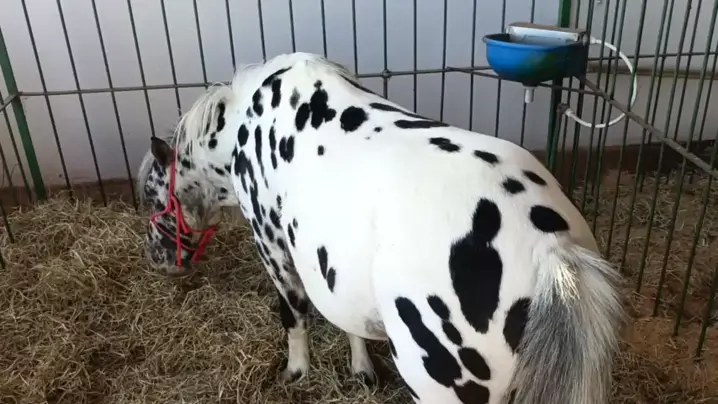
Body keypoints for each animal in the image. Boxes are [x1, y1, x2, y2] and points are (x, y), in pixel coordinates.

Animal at [137, 52, 625, 404]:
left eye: (152, 197)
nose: (158, 260)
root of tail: (550, 252)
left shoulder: (272, 245)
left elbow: (294, 315)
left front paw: (296, 371)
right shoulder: (332, 268)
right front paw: (361, 369)